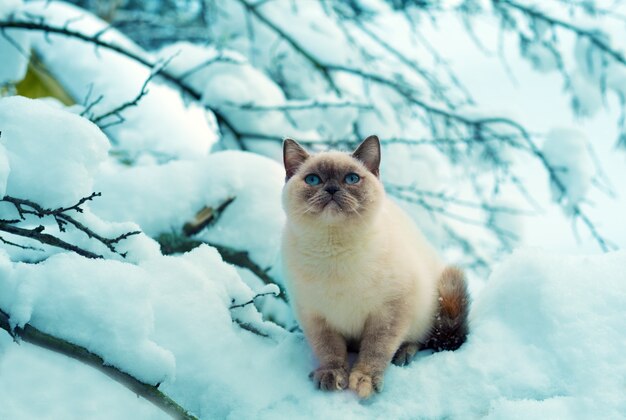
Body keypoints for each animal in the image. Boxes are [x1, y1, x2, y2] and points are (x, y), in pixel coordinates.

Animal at [280, 136, 466, 398]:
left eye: (351, 179)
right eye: (313, 180)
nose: (332, 189)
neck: (333, 250)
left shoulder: (389, 312)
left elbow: (375, 351)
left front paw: (363, 381)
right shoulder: (315, 316)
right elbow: (329, 350)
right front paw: (332, 375)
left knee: (422, 339)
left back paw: (403, 354)